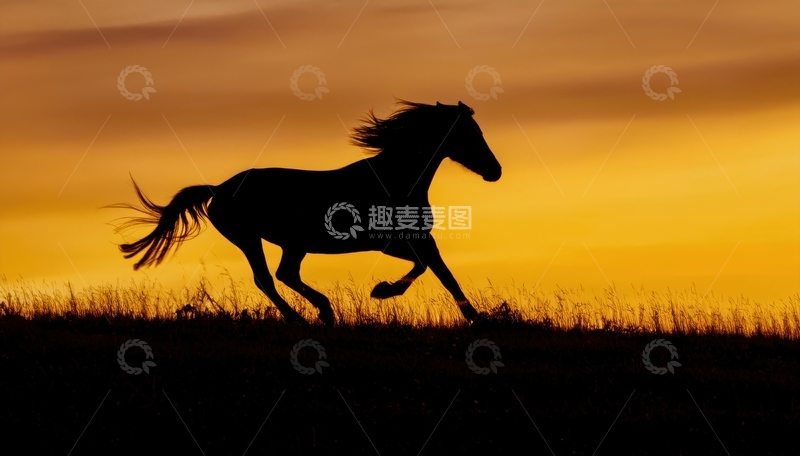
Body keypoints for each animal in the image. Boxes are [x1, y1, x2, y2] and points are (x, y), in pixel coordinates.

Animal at [114, 100, 502, 326]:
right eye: (470, 132)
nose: (495, 171)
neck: (395, 178)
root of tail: (218, 189)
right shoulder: (389, 242)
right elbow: (429, 269)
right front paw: (382, 291)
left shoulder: (418, 239)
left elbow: (440, 272)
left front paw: (476, 317)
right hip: (251, 238)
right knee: (267, 278)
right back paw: (306, 317)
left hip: (291, 244)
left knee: (284, 274)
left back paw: (323, 312)